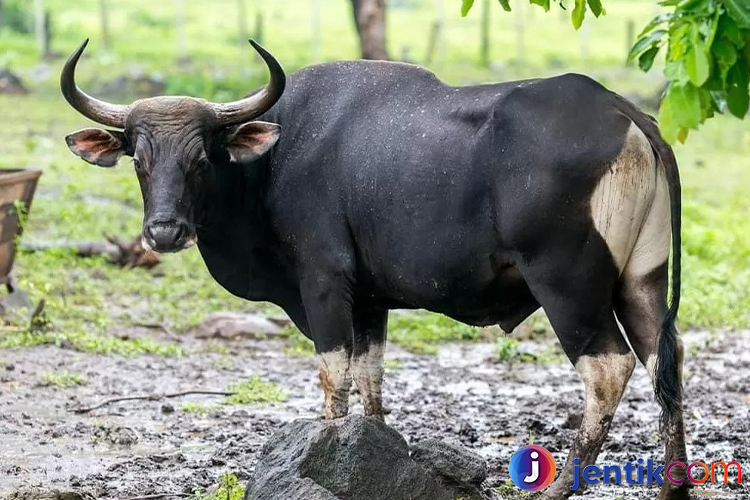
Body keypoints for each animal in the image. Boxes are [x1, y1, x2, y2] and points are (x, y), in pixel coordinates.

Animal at [61, 41, 692, 498]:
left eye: (200, 157)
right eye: (139, 160)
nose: (164, 231)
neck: (273, 159)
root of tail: (625, 111)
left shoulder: (324, 286)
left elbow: (334, 379)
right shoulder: (370, 303)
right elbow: (372, 380)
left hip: (567, 287)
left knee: (608, 368)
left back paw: (560, 487)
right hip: (641, 281)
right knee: (665, 360)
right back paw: (672, 488)